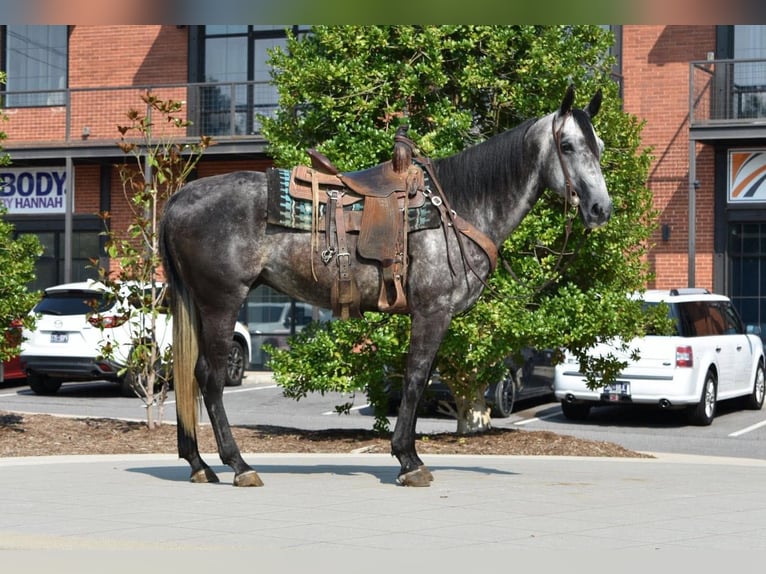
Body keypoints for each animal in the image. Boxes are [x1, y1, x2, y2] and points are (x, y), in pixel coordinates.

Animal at [159, 85, 612, 487]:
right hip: (221, 301)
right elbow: (414, 378)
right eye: (567, 146)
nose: (600, 209)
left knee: (190, 376)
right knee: (210, 378)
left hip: (200, 304)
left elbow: (420, 379)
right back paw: (239, 466)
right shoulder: (432, 311)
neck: (457, 209)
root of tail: (181, 198)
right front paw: (409, 460)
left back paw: (199, 464)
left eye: (600, 147)